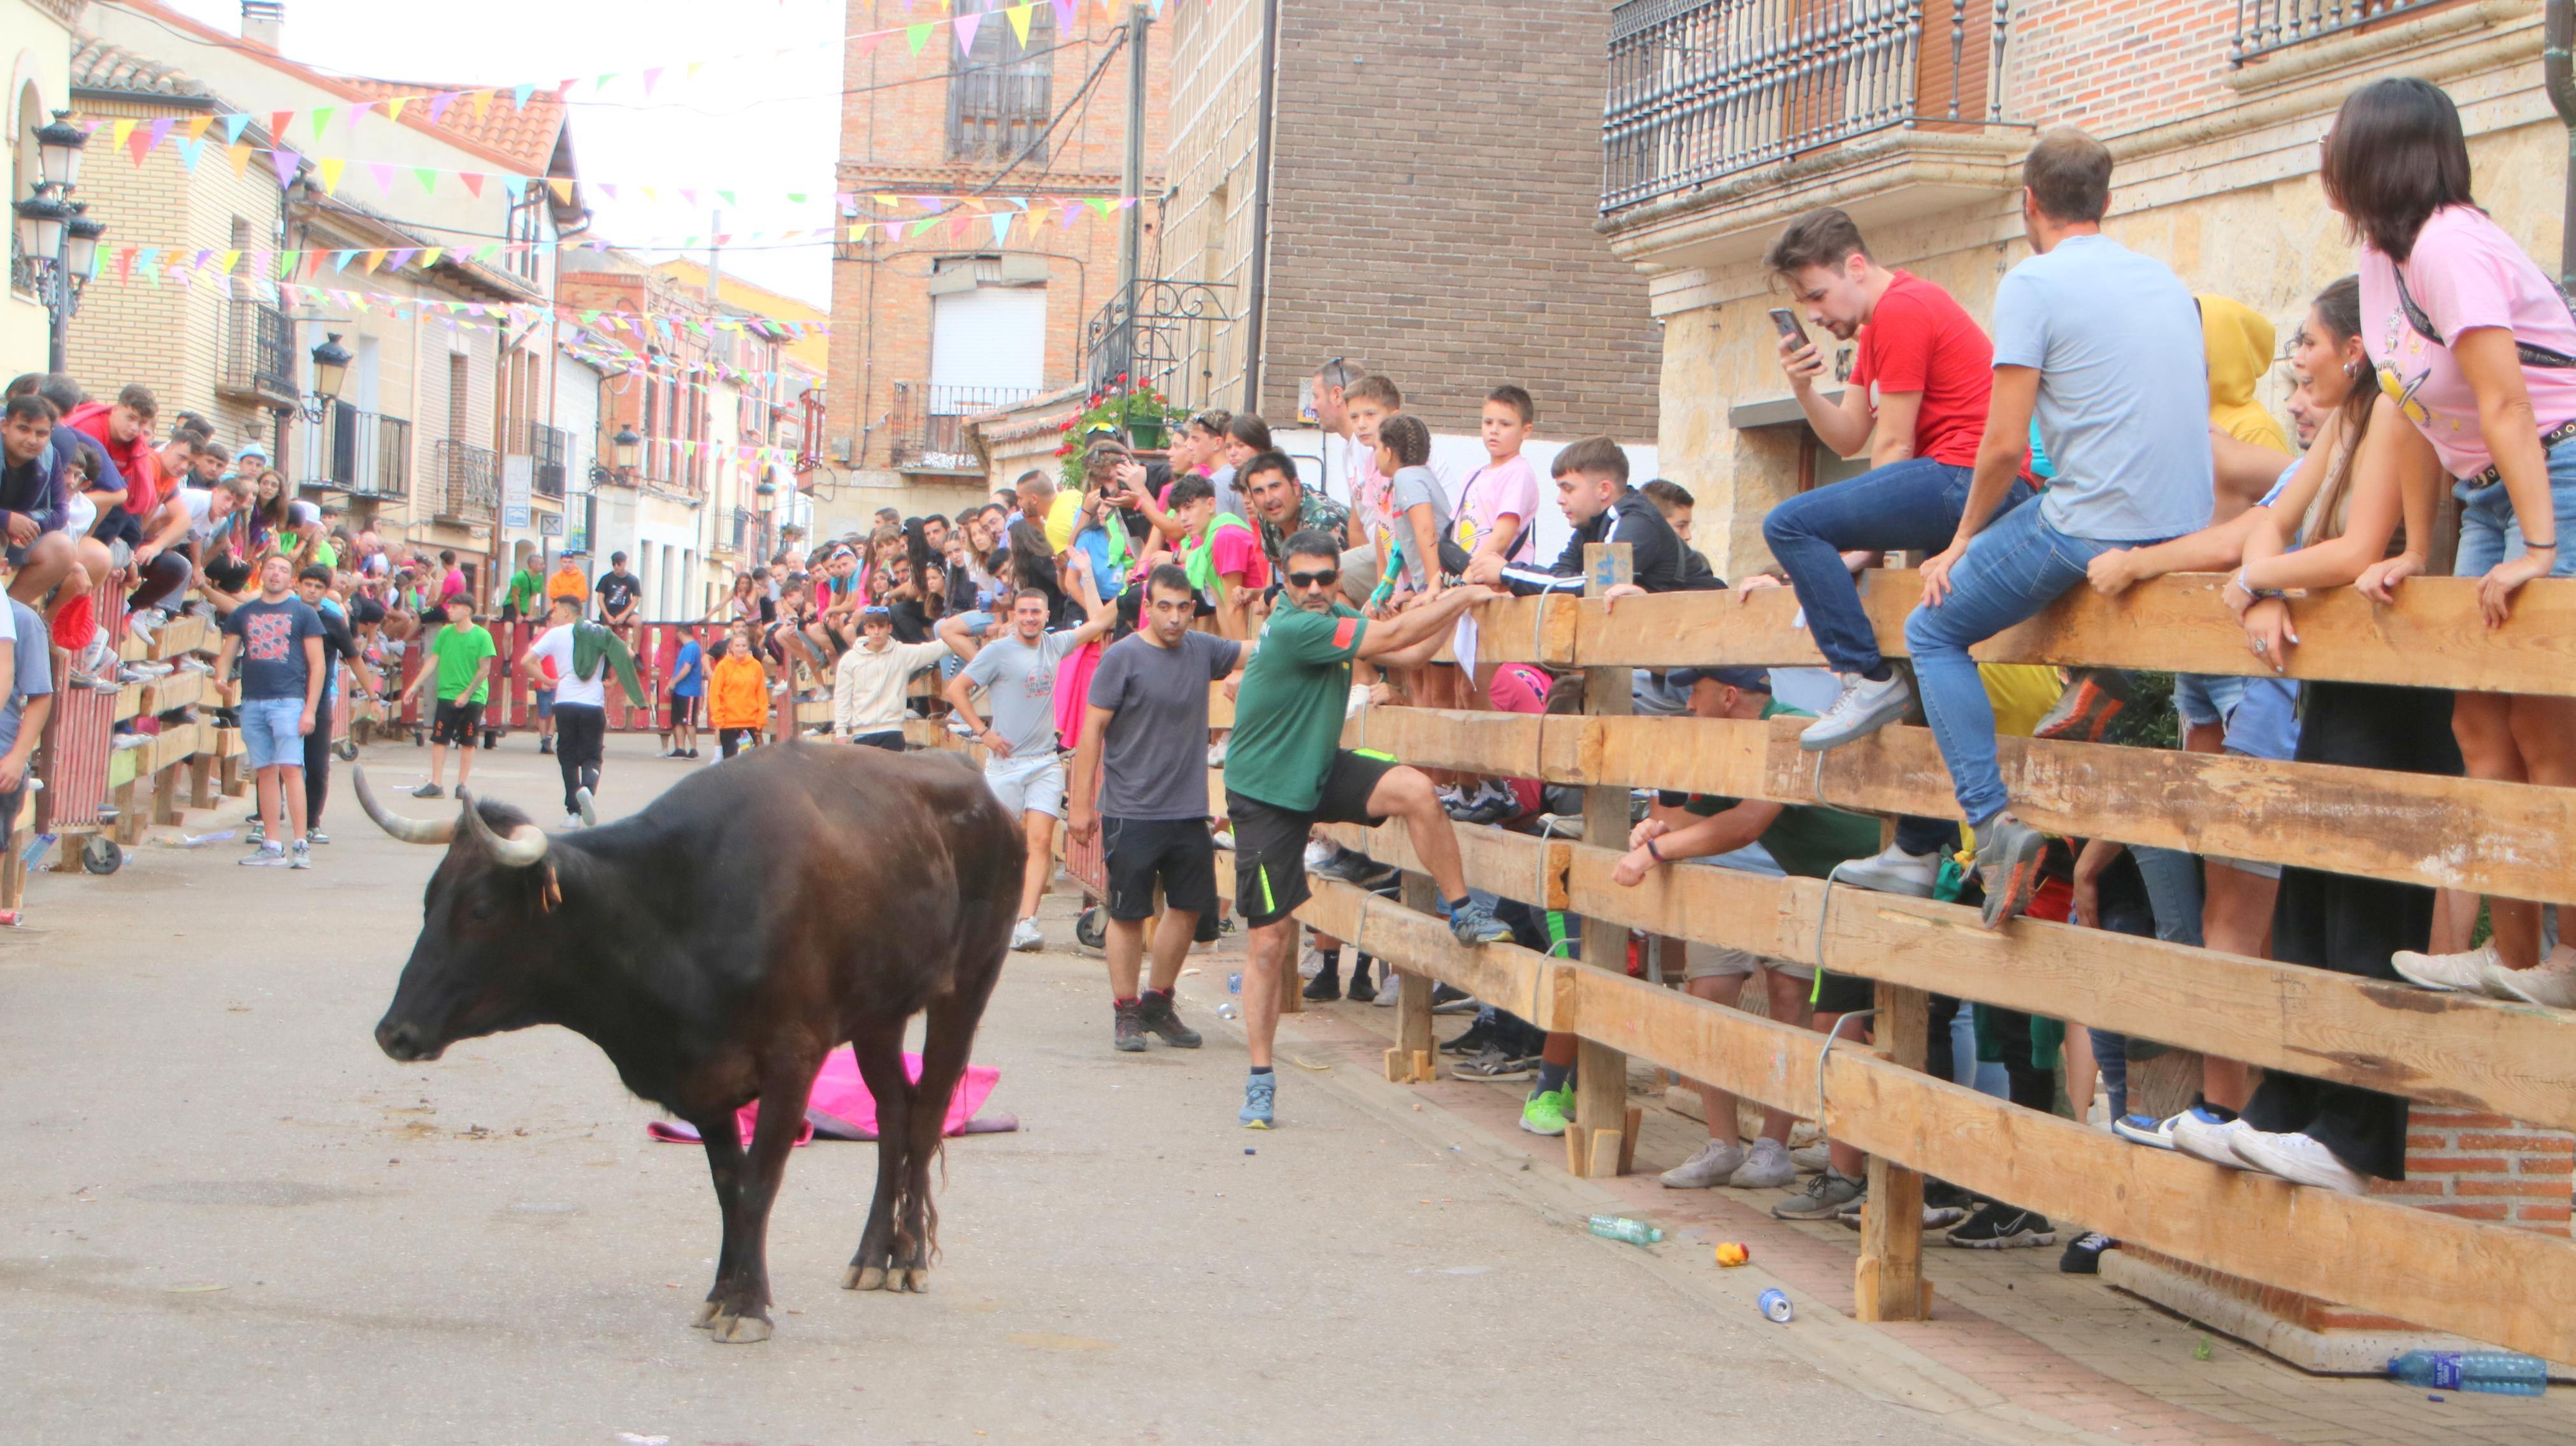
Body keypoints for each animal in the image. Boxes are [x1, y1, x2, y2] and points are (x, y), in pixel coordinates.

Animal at [352, 742, 1014, 1340]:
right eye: (429, 900)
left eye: (482, 910)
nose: (394, 1032)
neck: (679, 910)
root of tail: (970, 779)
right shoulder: (707, 1080)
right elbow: (728, 1188)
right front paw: (722, 1294)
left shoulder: (793, 1061)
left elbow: (759, 1182)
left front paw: (749, 1307)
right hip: (879, 1015)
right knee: (893, 1113)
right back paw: (873, 1256)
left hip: (967, 989)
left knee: (926, 1115)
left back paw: (909, 1259)